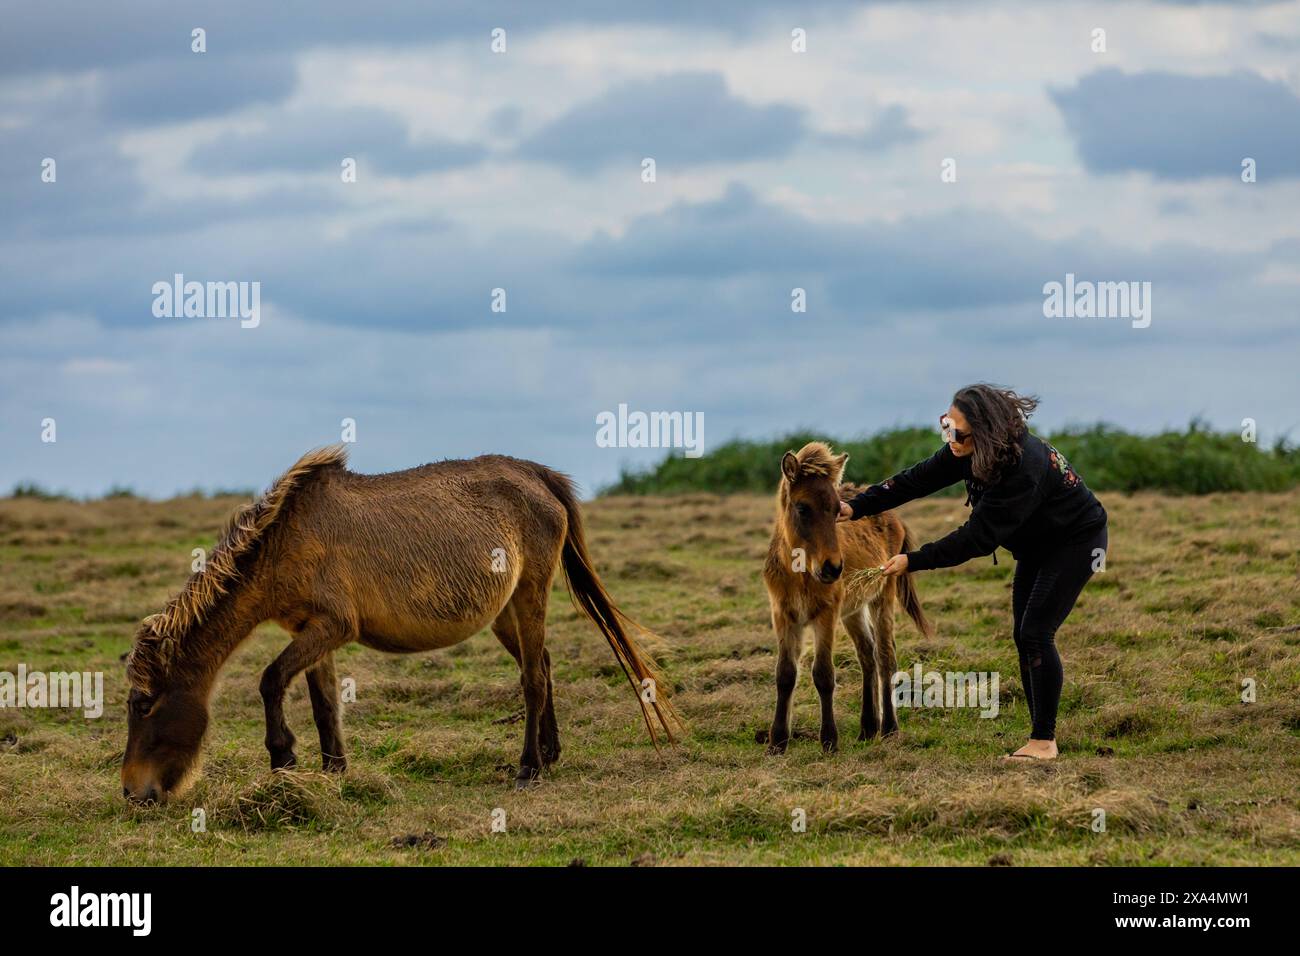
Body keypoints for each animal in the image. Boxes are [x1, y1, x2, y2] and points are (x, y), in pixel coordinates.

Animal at [122, 447, 676, 801]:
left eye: (144, 705)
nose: (132, 791)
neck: (284, 539)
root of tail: (537, 475)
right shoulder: (311, 633)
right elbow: (323, 704)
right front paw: (333, 772)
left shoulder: (332, 626)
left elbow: (270, 680)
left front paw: (283, 762)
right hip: (506, 614)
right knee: (542, 663)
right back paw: (550, 752)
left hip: (531, 595)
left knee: (534, 680)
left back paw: (528, 768)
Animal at [759, 442, 935, 754]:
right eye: (802, 507)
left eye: (835, 509)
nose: (832, 568)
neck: (801, 573)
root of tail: (896, 518)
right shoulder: (783, 614)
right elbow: (785, 674)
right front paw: (777, 741)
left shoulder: (826, 613)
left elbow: (823, 674)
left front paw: (829, 739)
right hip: (853, 610)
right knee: (867, 654)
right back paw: (868, 728)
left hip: (882, 596)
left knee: (885, 656)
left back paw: (889, 728)